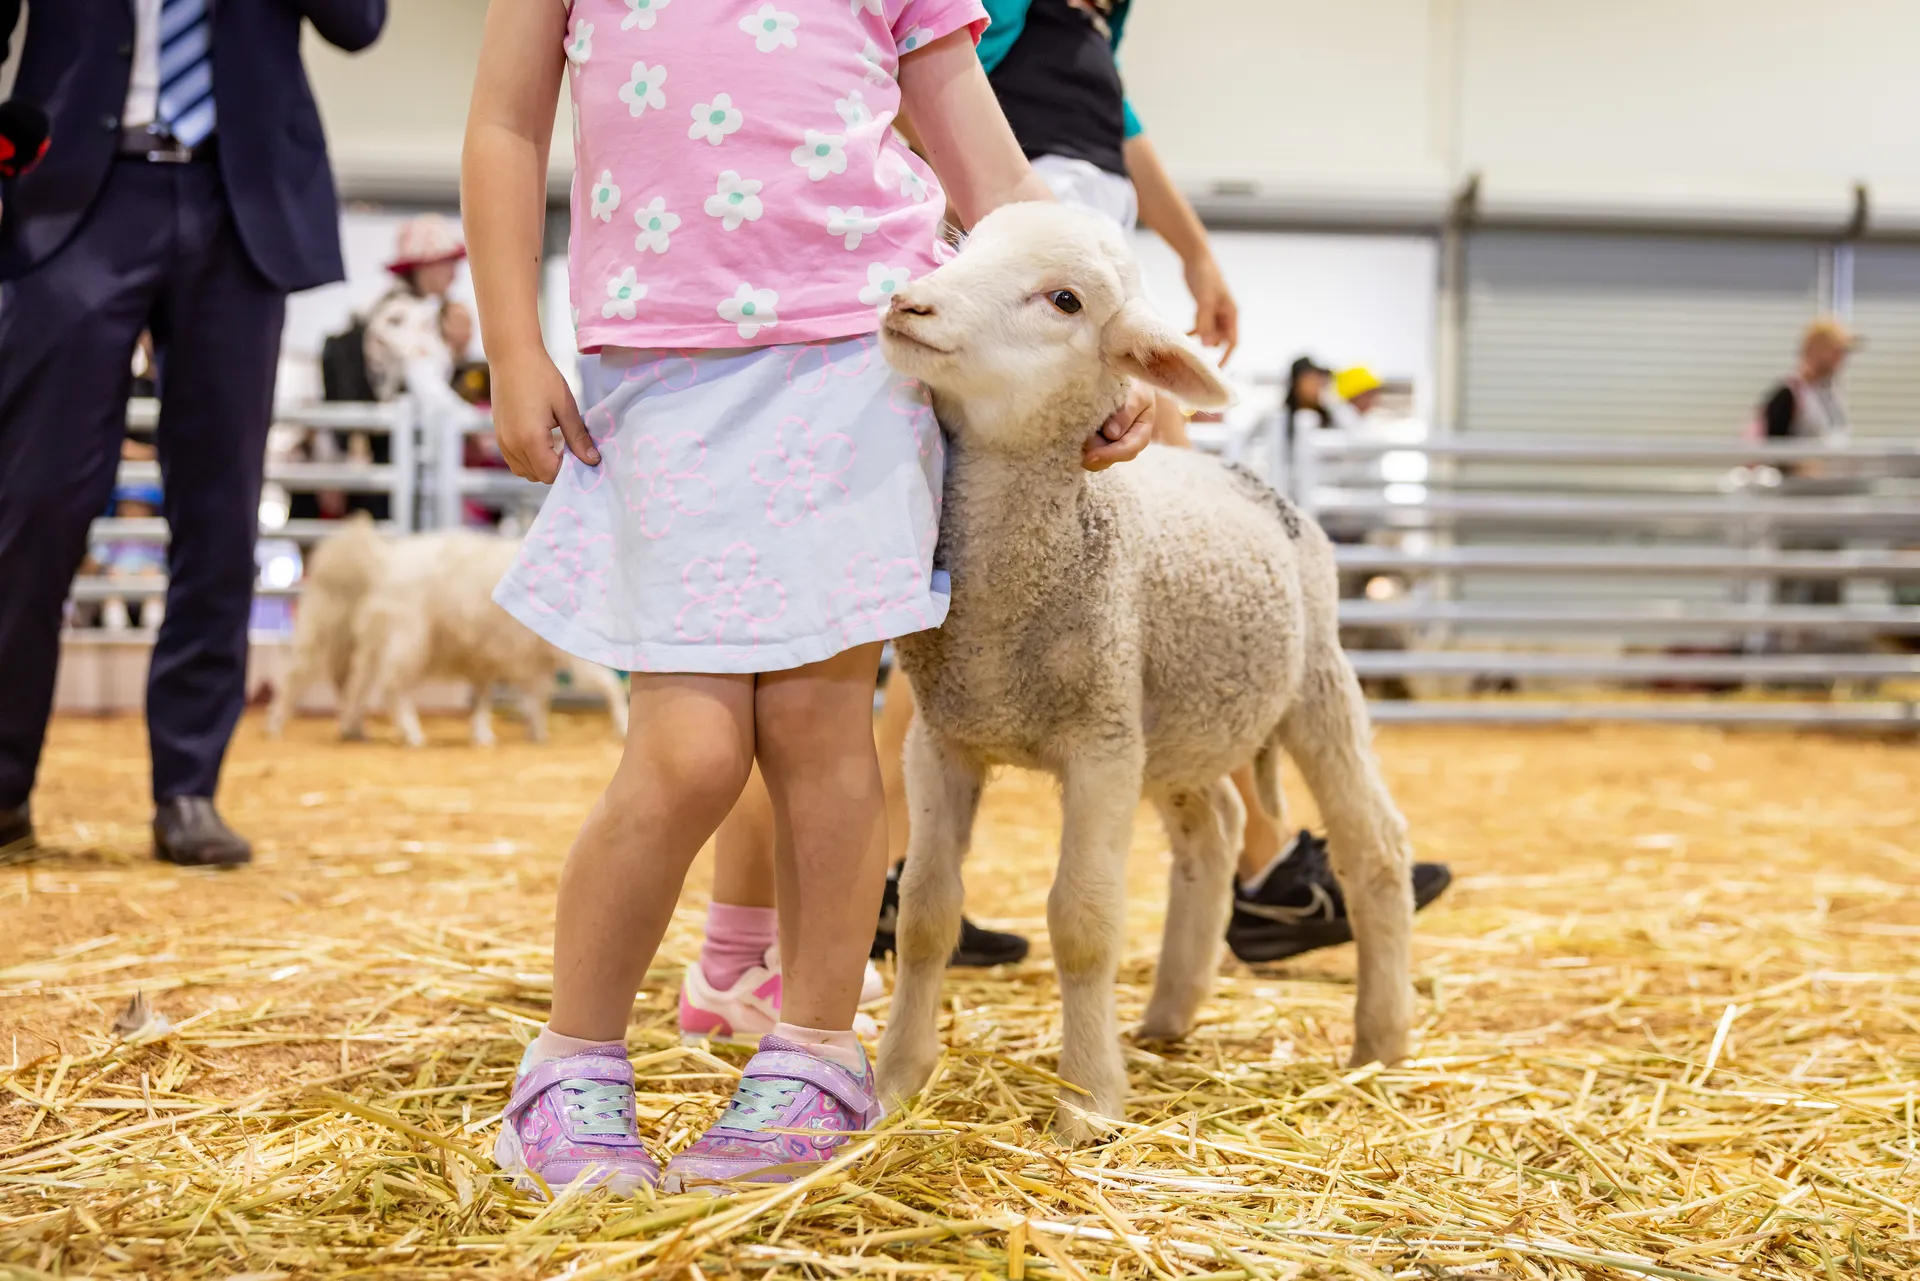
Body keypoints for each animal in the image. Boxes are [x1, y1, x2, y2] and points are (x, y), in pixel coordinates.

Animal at [268, 520, 628, 748]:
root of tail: (383, 561)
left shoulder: (507, 656)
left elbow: (517, 696)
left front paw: (520, 733)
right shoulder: (558, 655)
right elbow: (606, 686)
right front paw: (621, 725)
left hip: (374, 642)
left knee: (358, 685)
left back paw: (352, 729)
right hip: (407, 641)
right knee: (389, 690)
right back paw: (411, 735)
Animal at [874, 202, 1416, 1142]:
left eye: (1065, 300)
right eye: (964, 247)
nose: (909, 303)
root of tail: (1234, 467)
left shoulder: (1101, 741)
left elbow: (1083, 922)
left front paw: (1086, 1103)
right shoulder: (941, 738)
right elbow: (927, 914)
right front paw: (898, 1083)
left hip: (1314, 678)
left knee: (1374, 846)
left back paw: (1379, 1041)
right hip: (1181, 715)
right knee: (1217, 830)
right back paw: (1170, 1011)